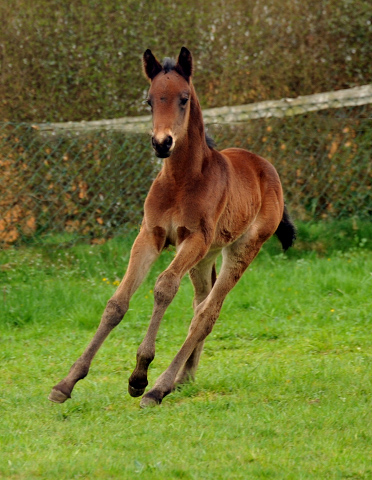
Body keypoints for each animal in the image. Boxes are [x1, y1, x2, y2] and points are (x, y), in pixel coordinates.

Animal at [48, 47, 296, 406]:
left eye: (183, 98)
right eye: (149, 101)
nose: (161, 143)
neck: (181, 181)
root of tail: (266, 168)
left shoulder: (193, 240)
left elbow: (164, 287)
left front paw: (139, 375)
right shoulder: (149, 236)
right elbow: (117, 303)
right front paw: (66, 382)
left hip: (241, 249)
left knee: (207, 314)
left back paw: (160, 387)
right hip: (206, 257)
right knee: (200, 304)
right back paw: (183, 377)